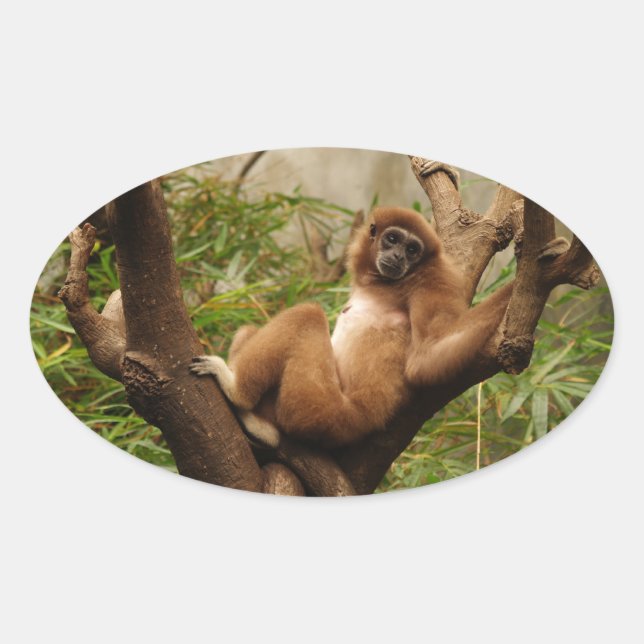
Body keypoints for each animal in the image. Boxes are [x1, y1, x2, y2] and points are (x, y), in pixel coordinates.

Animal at [190, 207, 513, 448]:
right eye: (392, 239)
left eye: (412, 249)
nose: (398, 256)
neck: (386, 284)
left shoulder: (434, 279)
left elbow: (428, 356)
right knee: (250, 331)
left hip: (319, 409)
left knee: (307, 315)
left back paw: (239, 396)